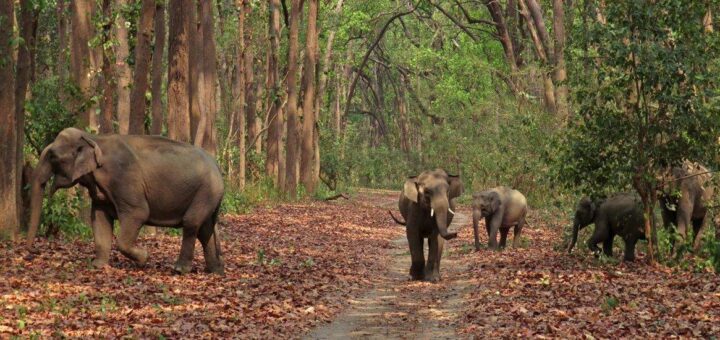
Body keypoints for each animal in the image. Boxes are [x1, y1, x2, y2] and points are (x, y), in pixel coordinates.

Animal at [26, 127, 225, 274]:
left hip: (206, 191)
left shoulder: (124, 179)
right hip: (209, 195)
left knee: (191, 223)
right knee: (204, 229)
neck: (94, 139)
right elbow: (99, 218)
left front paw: (144, 258)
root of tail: (216, 165)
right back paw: (214, 271)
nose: (32, 252)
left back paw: (179, 270)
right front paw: (97, 265)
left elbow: (138, 213)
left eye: (52, 156)